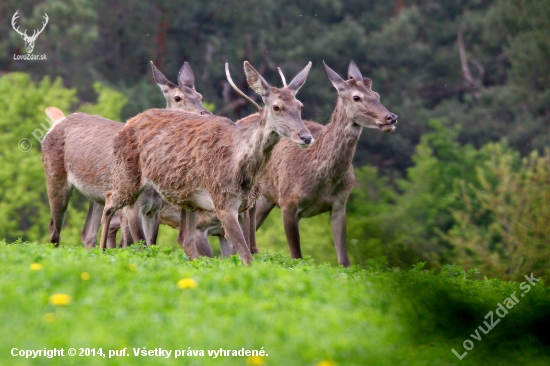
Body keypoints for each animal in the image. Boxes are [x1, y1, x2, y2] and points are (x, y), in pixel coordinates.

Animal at [42, 61, 211, 249]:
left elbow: (150, 244)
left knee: (87, 233)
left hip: (97, 196)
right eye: (177, 98)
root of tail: (57, 121)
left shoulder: (154, 210)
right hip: (55, 177)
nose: (206, 114)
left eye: (200, 96)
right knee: (54, 229)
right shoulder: (132, 207)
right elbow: (136, 243)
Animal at [99, 61, 314, 264]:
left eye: (300, 106)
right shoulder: (223, 202)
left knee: (184, 239)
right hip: (129, 176)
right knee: (109, 201)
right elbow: (247, 257)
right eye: (276, 107)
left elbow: (246, 253)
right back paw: (100, 251)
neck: (241, 168)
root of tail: (129, 122)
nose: (306, 137)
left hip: (188, 200)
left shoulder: (243, 208)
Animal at [251, 60, 402, 266]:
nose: (391, 117)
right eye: (356, 97)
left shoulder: (340, 203)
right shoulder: (288, 202)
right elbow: (296, 256)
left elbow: (344, 261)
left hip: (266, 199)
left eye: (377, 95)